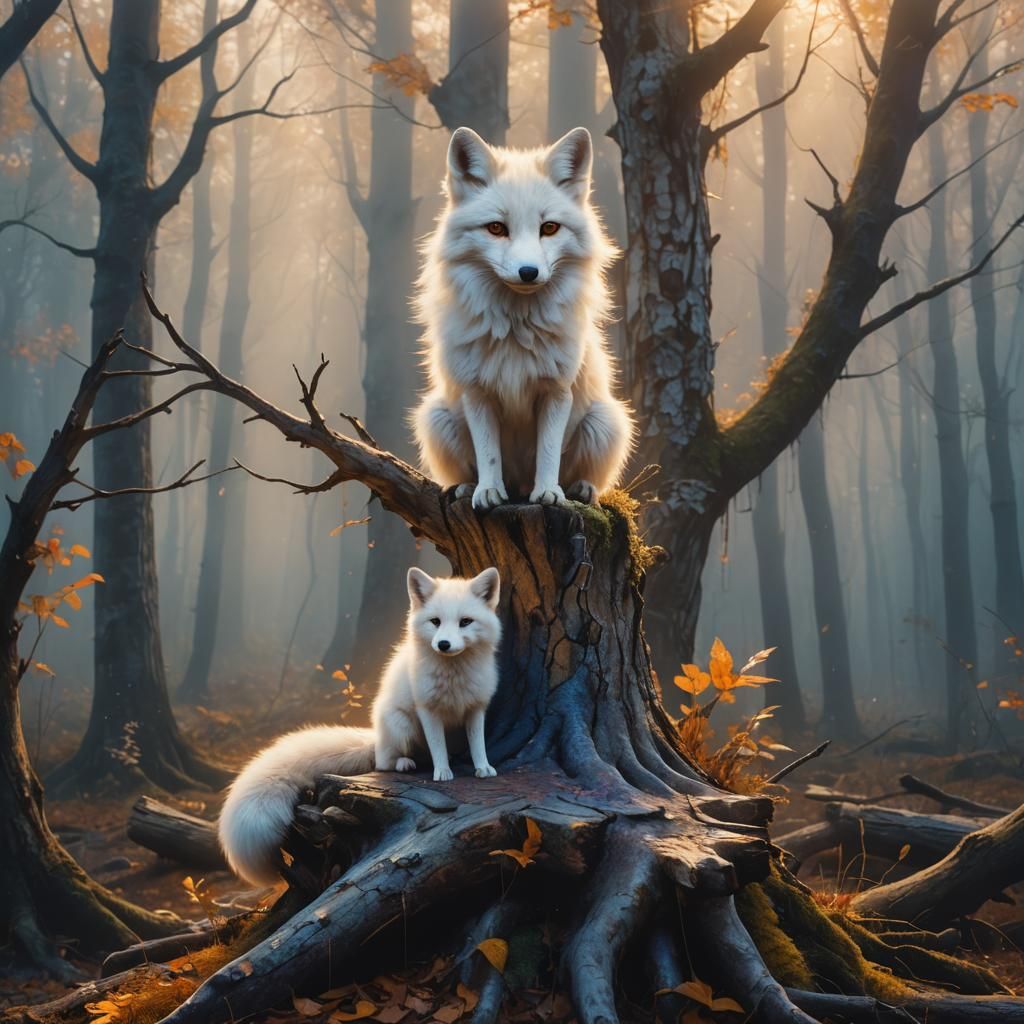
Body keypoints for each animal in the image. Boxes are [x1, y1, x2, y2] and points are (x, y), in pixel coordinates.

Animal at [218, 566, 502, 888]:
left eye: (465, 621)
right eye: (436, 622)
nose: (443, 644)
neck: (454, 676)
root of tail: (376, 737)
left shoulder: (476, 707)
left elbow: (478, 742)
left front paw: (483, 768)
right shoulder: (427, 710)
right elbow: (437, 746)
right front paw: (443, 773)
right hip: (401, 726)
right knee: (385, 761)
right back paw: (405, 763)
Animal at [412, 125, 634, 510]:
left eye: (549, 228)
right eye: (496, 228)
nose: (528, 272)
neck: (517, 327)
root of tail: (519, 484)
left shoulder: (557, 391)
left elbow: (548, 453)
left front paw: (548, 493)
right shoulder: (478, 393)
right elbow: (488, 455)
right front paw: (488, 492)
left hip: (606, 421)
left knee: (585, 476)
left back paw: (578, 489)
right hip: (436, 418)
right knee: (471, 471)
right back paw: (469, 488)